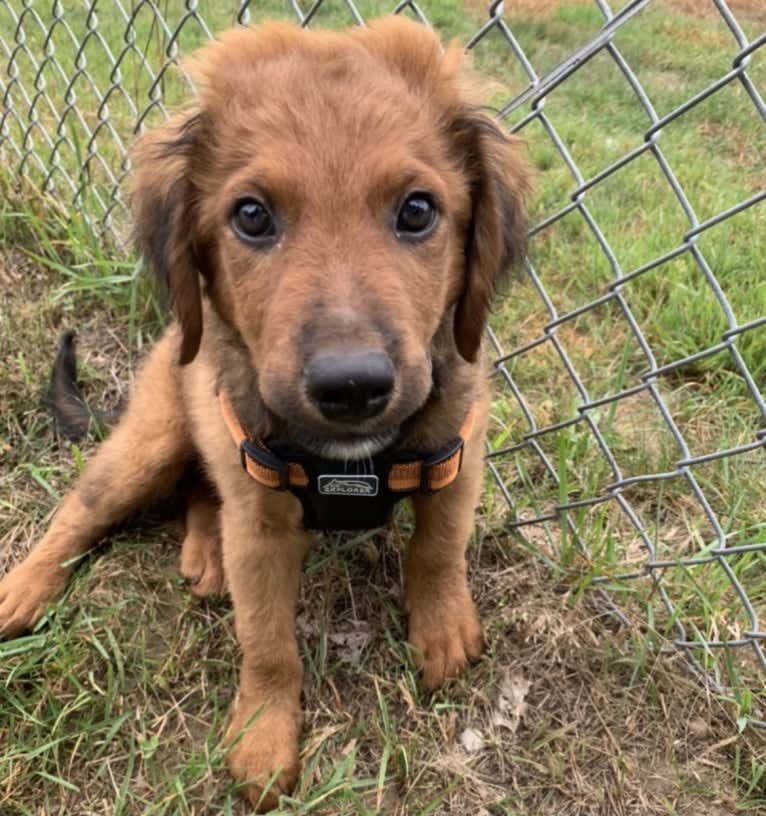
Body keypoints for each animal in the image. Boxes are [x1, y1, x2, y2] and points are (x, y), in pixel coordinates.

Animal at [0, 17, 528, 808]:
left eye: (417, 211)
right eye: (251, 215)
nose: (352, 387)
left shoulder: (456, 457)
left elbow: (439, 547)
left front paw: (441, 628)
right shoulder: (260, 516)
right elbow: (269, 643)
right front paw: (263, 738)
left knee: (201, 491)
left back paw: (203, 551)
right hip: (153, 439)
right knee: (79, 514)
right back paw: (24, 589)